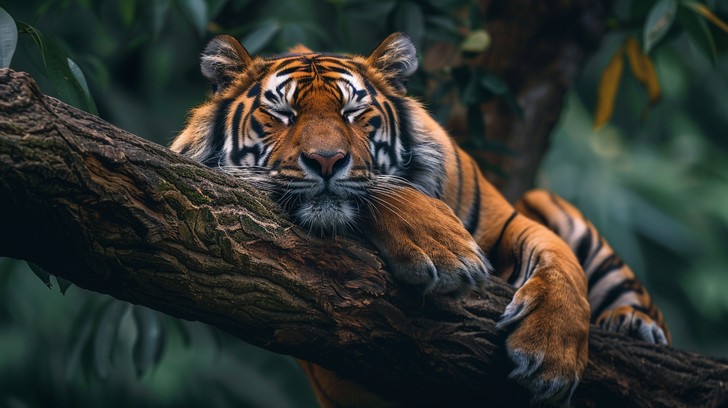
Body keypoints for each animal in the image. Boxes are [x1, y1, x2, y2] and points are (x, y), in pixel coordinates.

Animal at [171, 32, 670, 406]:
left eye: (353, 112)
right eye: (282, 113)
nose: (327, 160)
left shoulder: (510, 219)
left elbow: (562, 263)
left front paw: (552, 356)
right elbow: (383, 193)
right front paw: (446, 251)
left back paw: (635, 324)